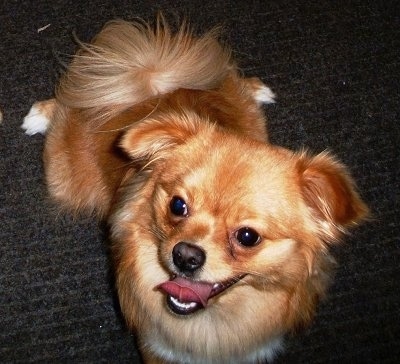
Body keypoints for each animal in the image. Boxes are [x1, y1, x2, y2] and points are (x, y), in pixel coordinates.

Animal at [22, 17, 368, 364]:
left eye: (248, 237)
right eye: (177, 205)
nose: (186, 255)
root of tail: (154, 86)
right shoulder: (155, 347)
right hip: (66, 178)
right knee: (66, 103)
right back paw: (40, 115)